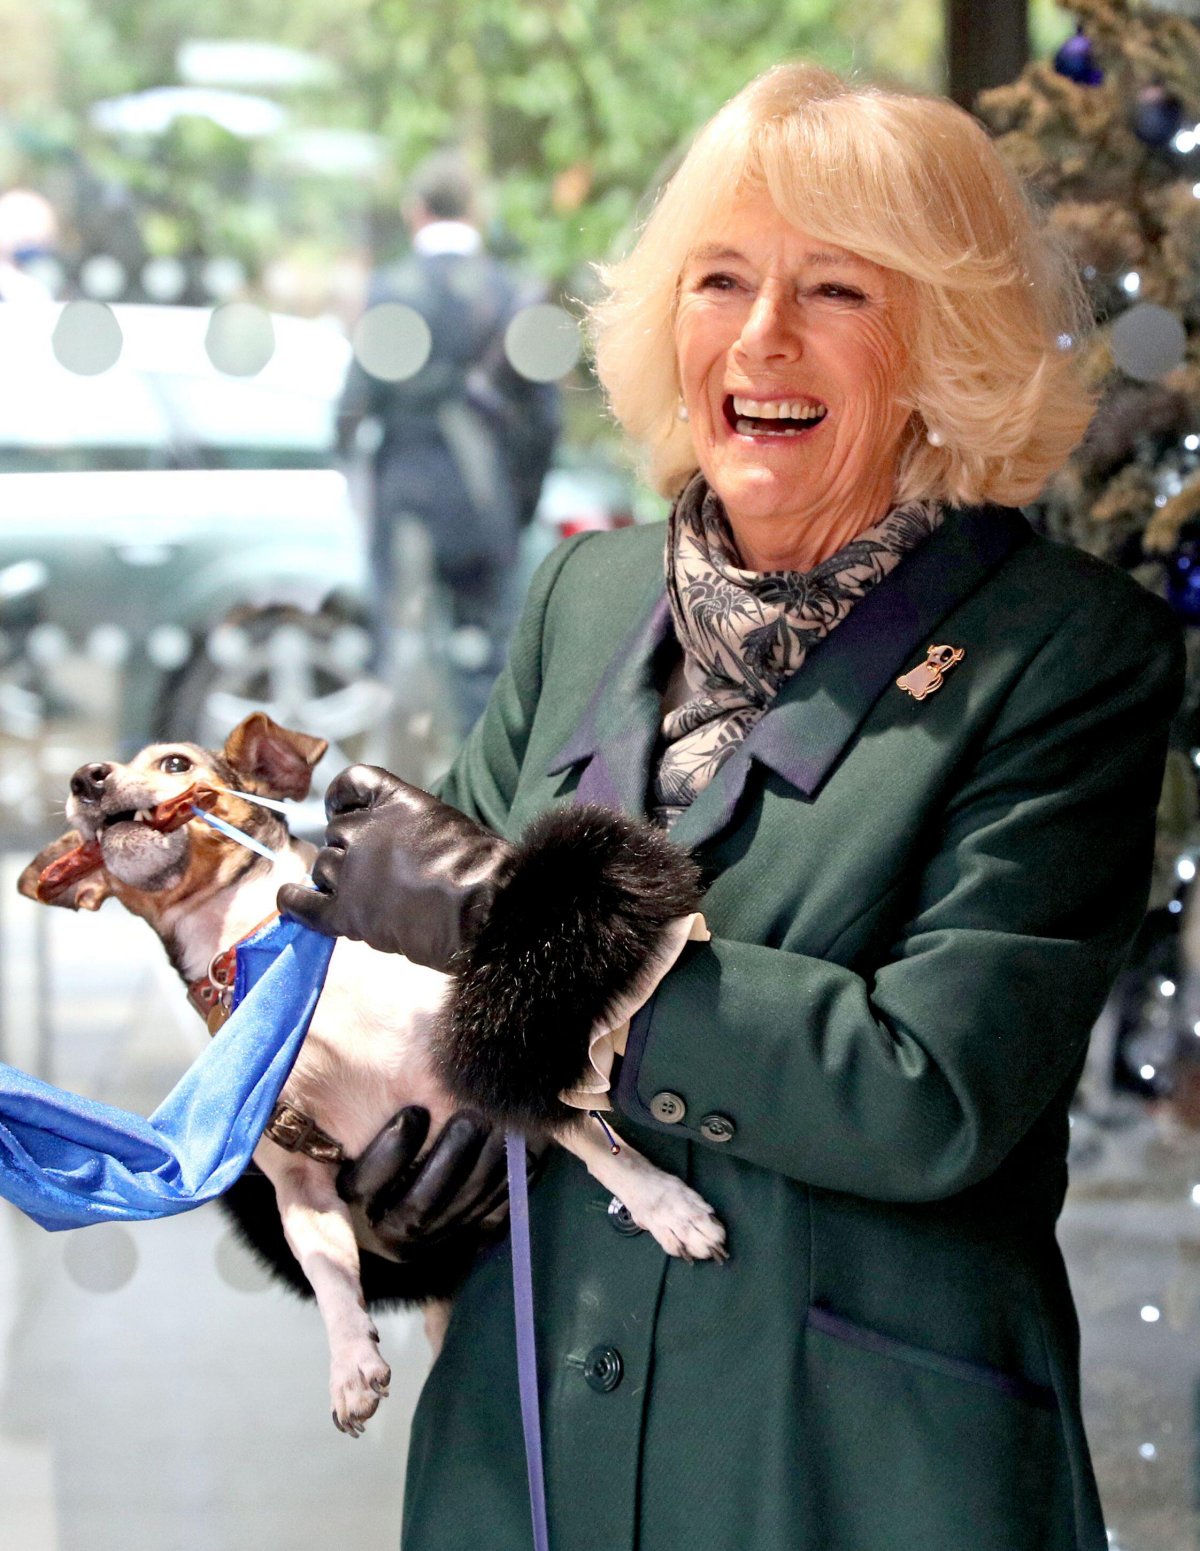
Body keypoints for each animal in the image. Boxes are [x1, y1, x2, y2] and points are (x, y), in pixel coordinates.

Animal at [18, 719, 728, 1433]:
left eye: (175, 764)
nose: (86, 779)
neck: (267, 956)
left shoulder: (497, 1065)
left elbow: (590, 1138)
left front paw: (666, 1207)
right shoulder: (302, 1185)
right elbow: (327, 1270)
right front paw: (351, 1366)